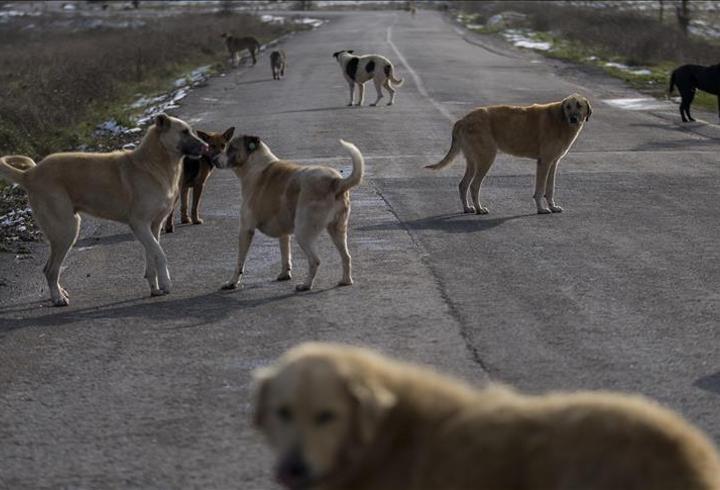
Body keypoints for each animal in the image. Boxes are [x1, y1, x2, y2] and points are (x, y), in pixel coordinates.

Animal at [0, 115, 207, 306]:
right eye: (184, 132)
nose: (206, 147)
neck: (154, 163)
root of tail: (29, 174)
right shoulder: (139, 224)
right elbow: (160, 254)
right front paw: (166, 283)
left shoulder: (153, 227)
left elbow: (152, 256)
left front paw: (155, 288)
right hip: (66, 230)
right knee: (50, 269)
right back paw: (58, 298)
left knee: (50, 268)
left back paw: (60, 293)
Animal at [212, 134, 360, 290]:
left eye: (231, 148)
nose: (213, 160)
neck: (255, 165)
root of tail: (336, 181)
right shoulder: (283, 232)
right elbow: (285, 254)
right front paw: (285, 274)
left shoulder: (246, 230)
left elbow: (240, 262)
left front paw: (232, 282)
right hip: (337, 230)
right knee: (346, 256)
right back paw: (346, 280)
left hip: (303, 233)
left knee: (315, 260)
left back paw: (306, 285)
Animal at [428, 94, 592, 214]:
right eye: (568, 107)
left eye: (579, 105)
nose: (573, 119)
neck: (560, 119)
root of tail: (463, 119)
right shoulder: (544, 162)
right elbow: (540, 190)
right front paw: (541, 209)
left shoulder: (553, 163)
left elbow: (550, 189)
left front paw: (552, 206)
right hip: (486, 159)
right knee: (474, 186)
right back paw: (479, 209)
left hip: (473, 161)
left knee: (463, 185)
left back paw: (468, 208)